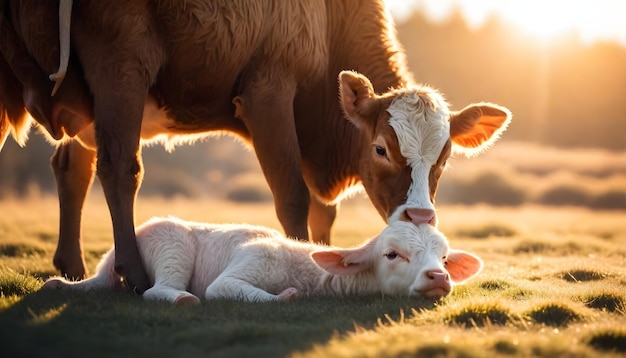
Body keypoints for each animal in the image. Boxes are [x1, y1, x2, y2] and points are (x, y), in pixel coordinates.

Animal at [0, 0, 508, 294]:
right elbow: (293, 196)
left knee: (73, 168)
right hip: (120, 64)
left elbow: (324, 210)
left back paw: (71, 267)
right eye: (381, 149)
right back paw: (133, 274)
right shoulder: (269, 91)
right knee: (120, 167)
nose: (420, 215)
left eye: (444, 158)